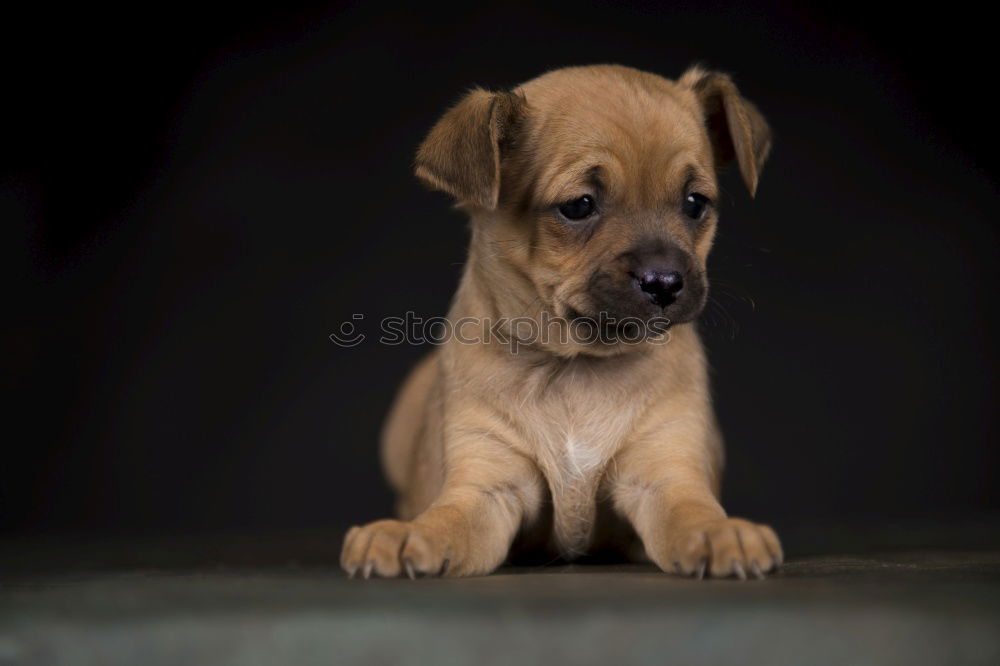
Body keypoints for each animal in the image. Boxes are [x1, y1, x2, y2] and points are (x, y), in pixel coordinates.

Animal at [342, 65, 780, 580]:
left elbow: (694, 511)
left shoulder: (665, 475)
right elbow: (445, 518)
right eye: (578, 206)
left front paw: (721, 531)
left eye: (695, 204)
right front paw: (407, 533)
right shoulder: (487, 489)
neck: (576, 368)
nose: (665, 282)